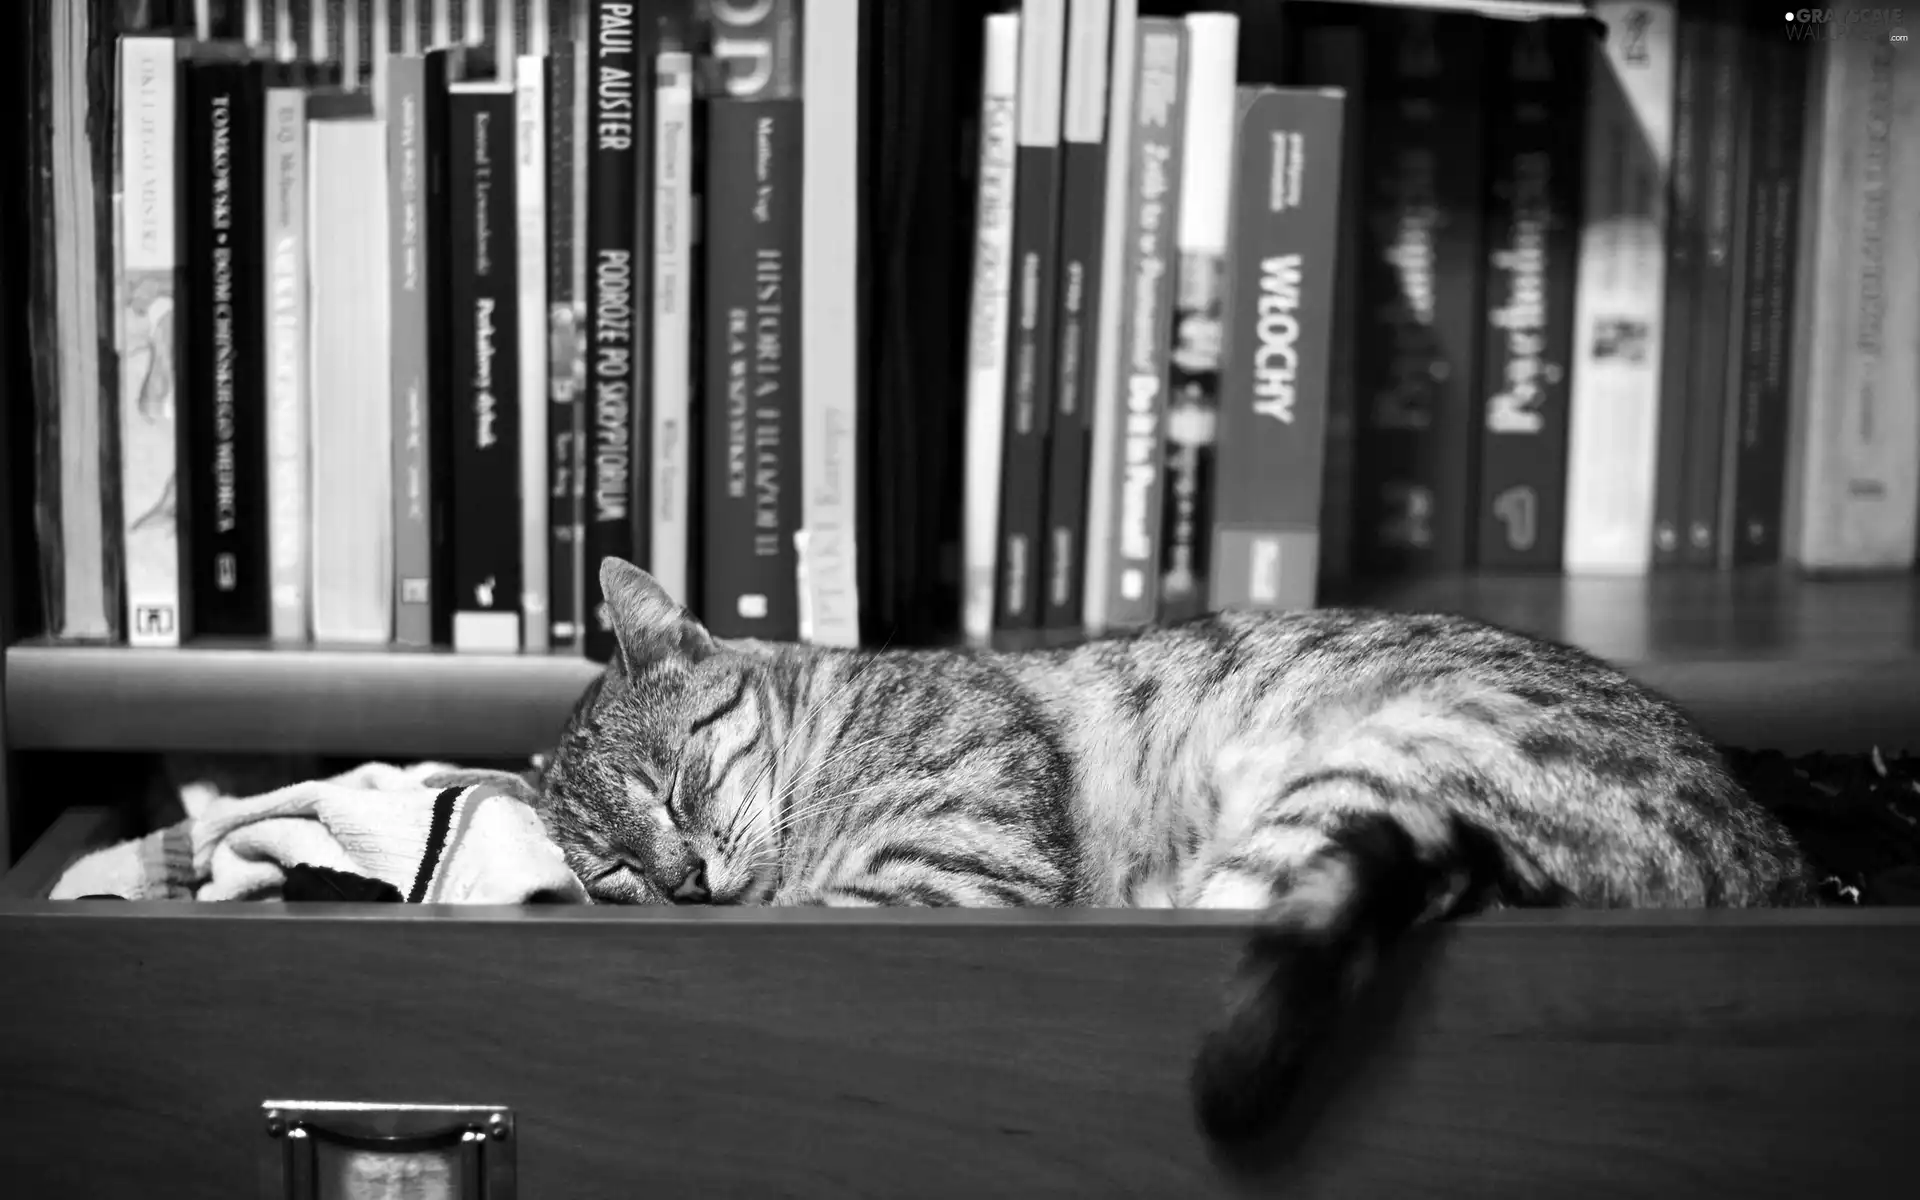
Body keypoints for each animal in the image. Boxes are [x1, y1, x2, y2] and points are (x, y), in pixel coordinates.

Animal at [541, 560, 1812, 1144]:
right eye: (614, 874)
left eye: (677, 784)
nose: (683, 882)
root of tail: (1772, 869)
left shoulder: (951, 865)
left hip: (1363, 784)